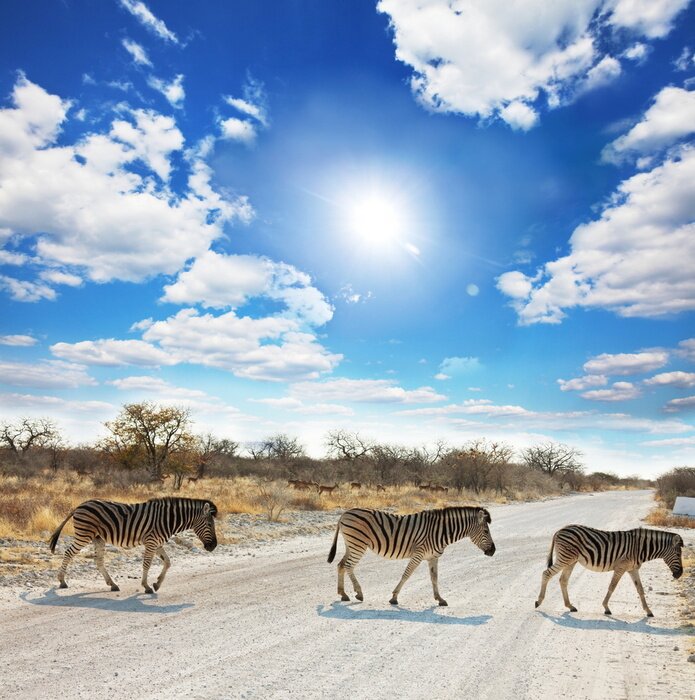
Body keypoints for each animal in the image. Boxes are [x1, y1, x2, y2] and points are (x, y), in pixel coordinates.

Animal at [48, 497, 218, 593]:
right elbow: (147, 564)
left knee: (99, 560)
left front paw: (157, 584)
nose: (214, 546)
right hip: (84, 534)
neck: (168, 520)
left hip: (98, 538)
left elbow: (168, 562)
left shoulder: (157, 543)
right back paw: (62, 581)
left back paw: (112, 584)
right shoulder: (151, 542)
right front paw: (147, 586)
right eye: (210, 525)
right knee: (69, 553)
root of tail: (79, 505)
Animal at [327, 506, 495, 606]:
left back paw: (343, 594)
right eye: (486, 531)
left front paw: (440, 599)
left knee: (341, 565)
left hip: (351, 545)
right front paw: (394, 597)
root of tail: (344, 513)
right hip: (358, 544)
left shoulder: (433, 557)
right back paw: (359, 593)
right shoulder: (418, 554)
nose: (493, 551)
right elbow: (406, 574)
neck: (441, 532)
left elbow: (434, 578)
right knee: (348, 566)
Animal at [535, 524, 684, 617]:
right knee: (546, 573)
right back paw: (539, 601)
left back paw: (570, 606)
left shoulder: (633, 569)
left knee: (563, 580)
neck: (640, 548)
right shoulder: (621, 567)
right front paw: (606, 608)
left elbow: (640, 590)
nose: (680, 574)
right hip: (565, 558)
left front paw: (648, 611)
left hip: (571, 561)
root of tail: (560, 529)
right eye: (678, 554)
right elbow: (612, 586)